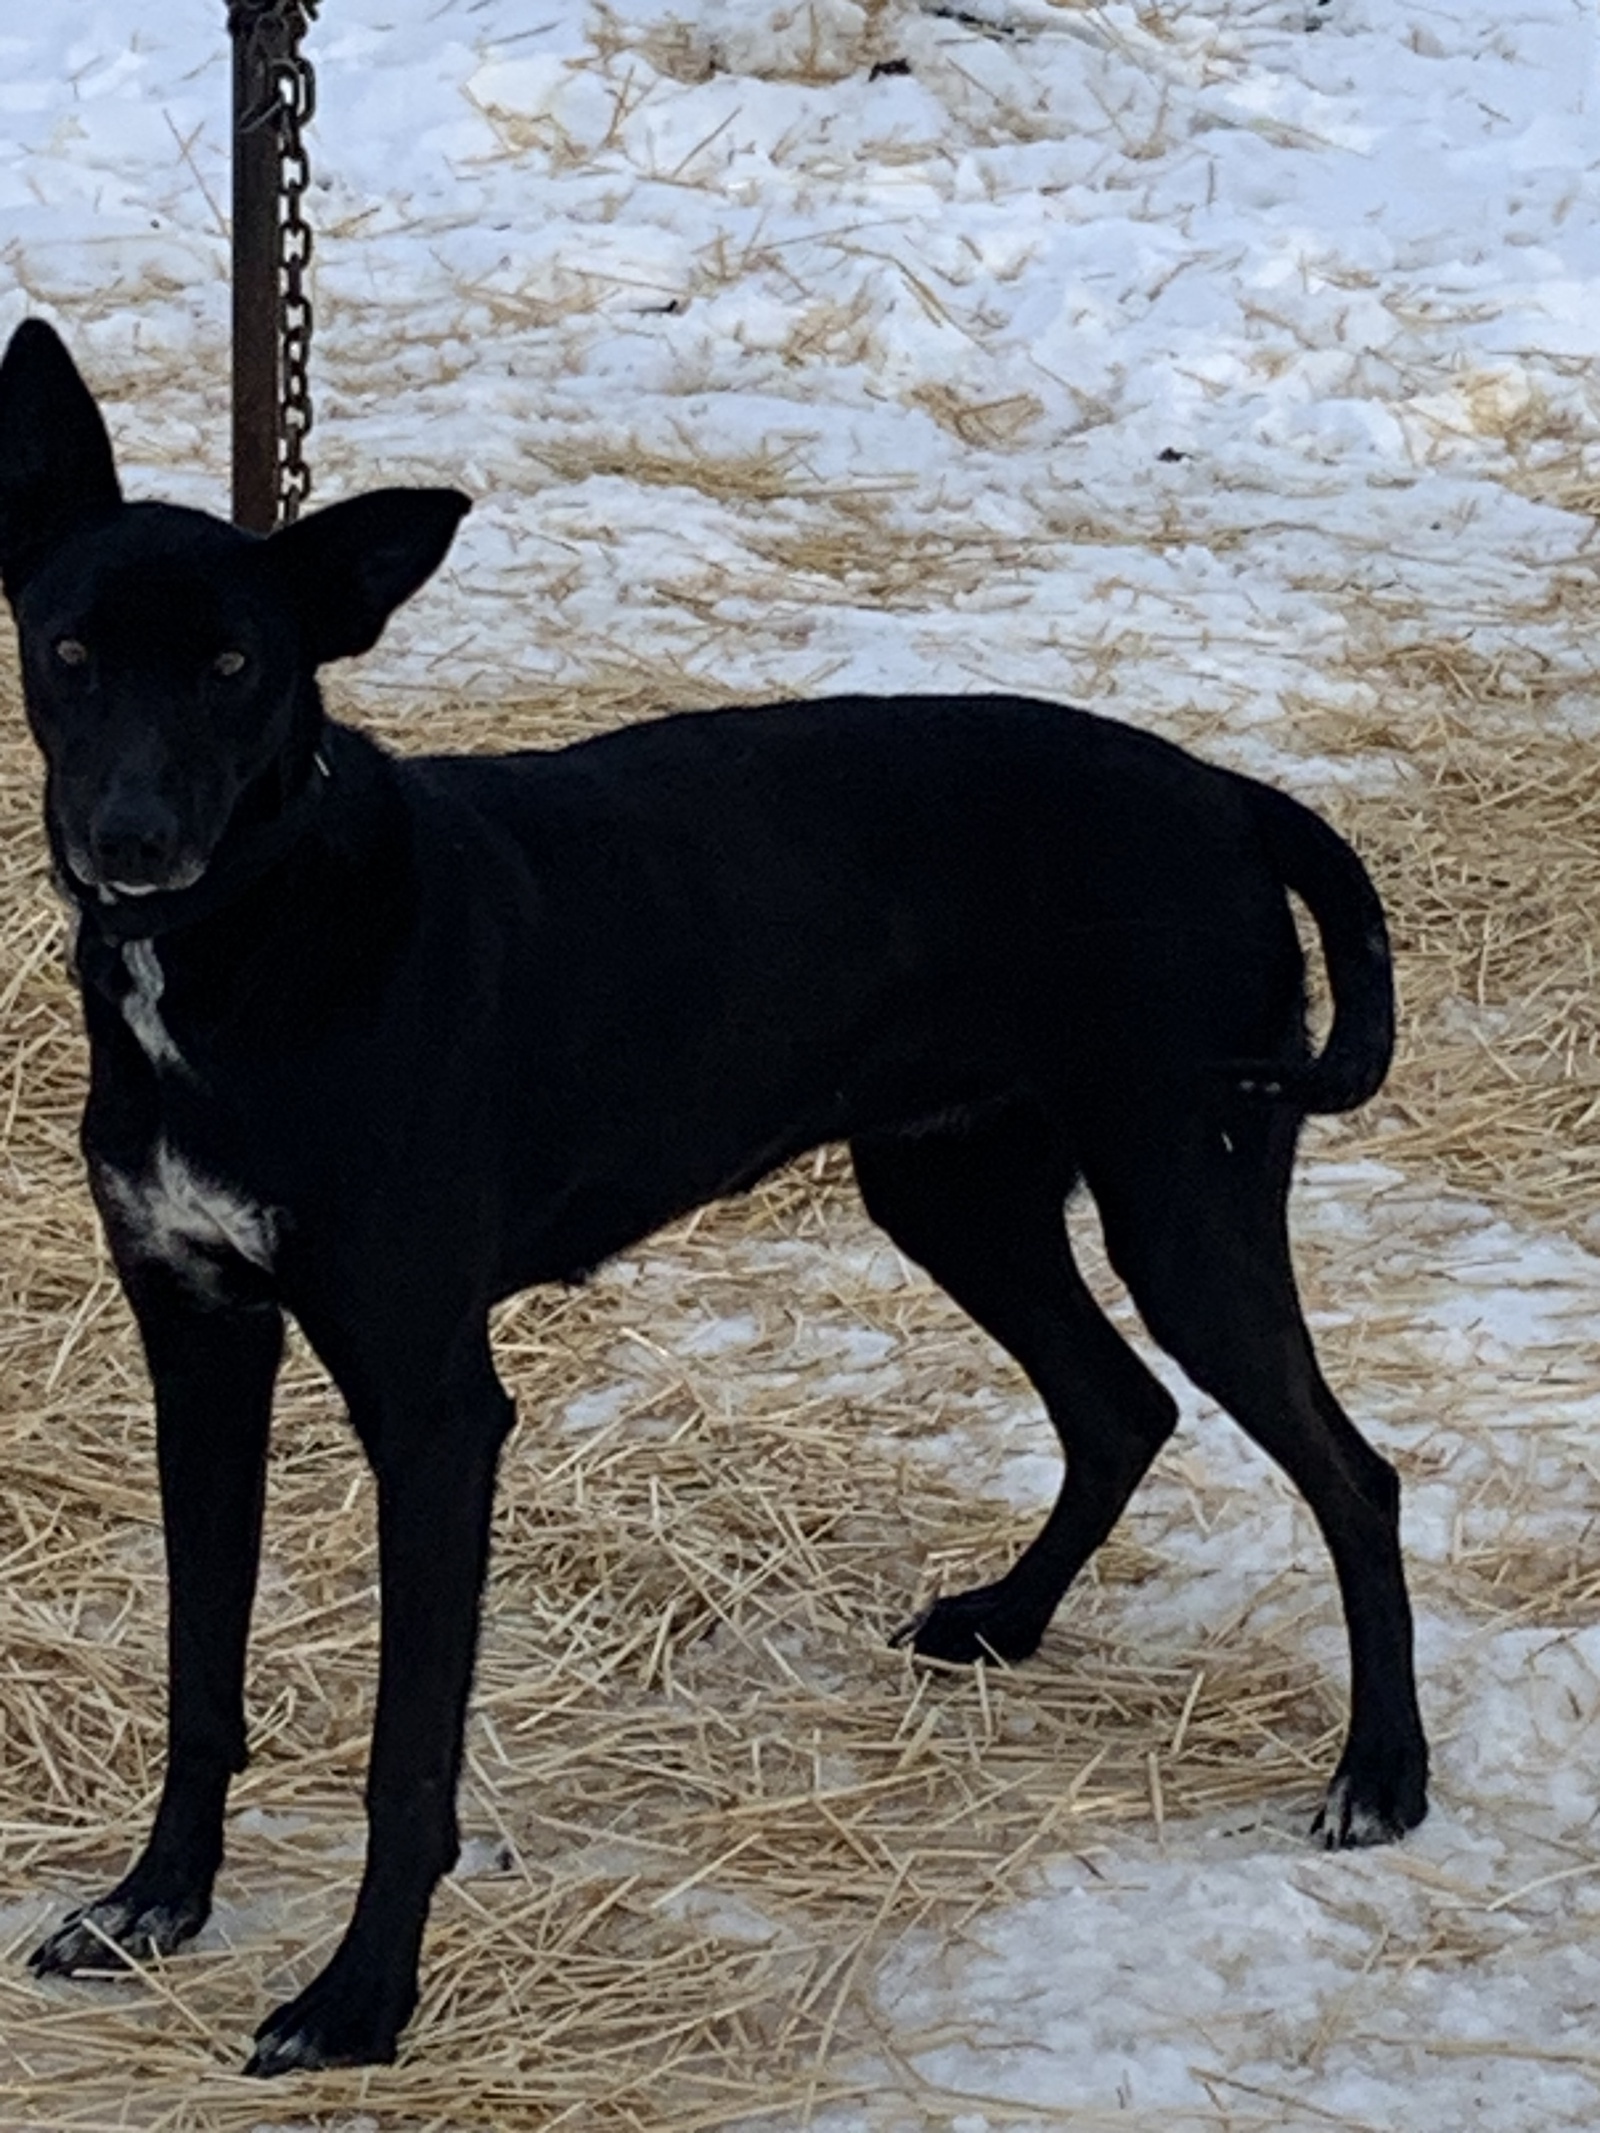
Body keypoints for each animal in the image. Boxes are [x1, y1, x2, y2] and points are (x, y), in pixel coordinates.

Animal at [0, 319, 1427, 2074]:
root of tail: (1230, 791)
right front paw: (156, 1903)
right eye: (69, 649)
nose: (129, 841)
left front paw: (360, 2000)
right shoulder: (195, 1341)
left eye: (232, 668)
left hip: (1187, 1198)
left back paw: (1383, 1775)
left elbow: (410, 1757)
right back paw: (1007, 1622)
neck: (248, 948)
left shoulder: (432, 1403)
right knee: (1120, 1406)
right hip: (954, 1190)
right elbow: (200, 1671)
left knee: (1353, 1474)